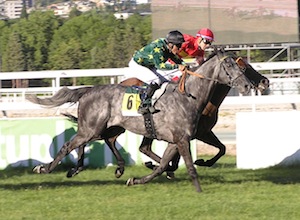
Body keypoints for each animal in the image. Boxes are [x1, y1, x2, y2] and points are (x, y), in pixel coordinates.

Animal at [27, 48, 251, 192]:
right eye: (229, 64)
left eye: (240, 65)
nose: (248, 85)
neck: (189, 96)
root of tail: (89, 90)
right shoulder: (182, 139)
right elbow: (189, 167)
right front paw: (199, 192)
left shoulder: (176, 140)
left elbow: (163, 166)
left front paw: (136, 180)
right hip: (91, 128)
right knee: (69, 145)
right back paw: (46, 168)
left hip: (107, 128)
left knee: (104, 140)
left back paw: (106, 168)